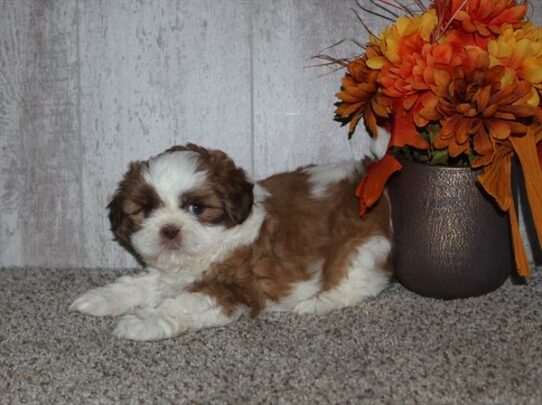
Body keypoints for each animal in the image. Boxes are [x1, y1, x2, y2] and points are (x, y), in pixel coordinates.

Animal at [71, 144, 396, 340]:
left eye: (196, 208)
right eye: (147, 210)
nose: (169, 229)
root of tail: (367, 180)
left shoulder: (230, 289)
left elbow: (180, 304)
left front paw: (141, 321)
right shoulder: (168, 276)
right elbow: (138, 285)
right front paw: (100, 299)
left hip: (362, 248)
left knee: (358, 285)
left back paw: (315, 303)